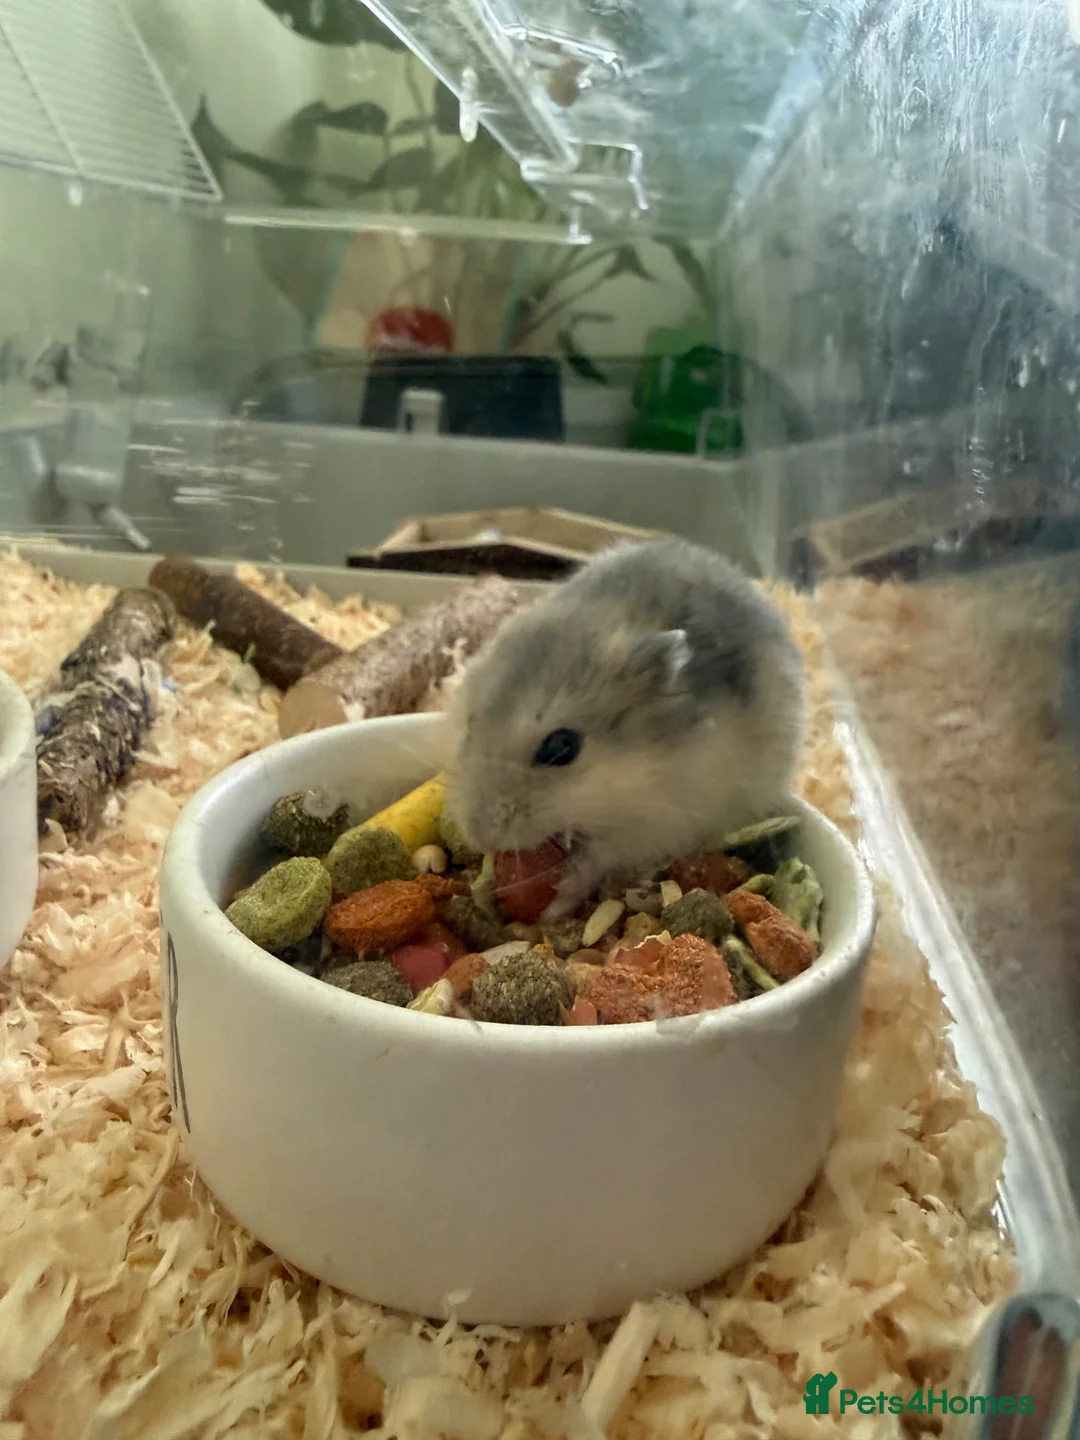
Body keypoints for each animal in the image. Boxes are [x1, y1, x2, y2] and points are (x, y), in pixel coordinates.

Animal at [443, 536, 806, 921]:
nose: (478, 836)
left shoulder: (662, 820)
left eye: (561, 747)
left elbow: (600, 856)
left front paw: (557, 904)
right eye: (469, 725)